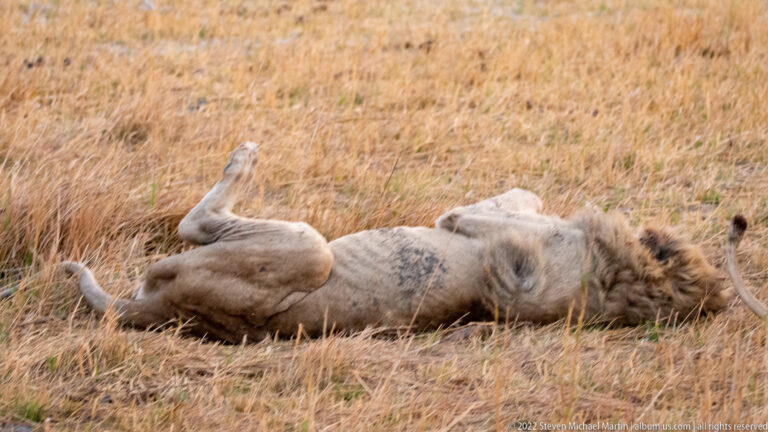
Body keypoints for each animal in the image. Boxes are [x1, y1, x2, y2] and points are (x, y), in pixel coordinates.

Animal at [56, 143, 766, 343]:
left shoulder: (475, 220)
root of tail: (158, 313)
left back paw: (244, 158)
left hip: (305, 248)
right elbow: (527, 193)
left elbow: (484, 209)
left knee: (190, 227)